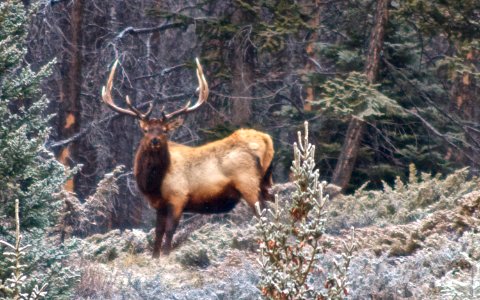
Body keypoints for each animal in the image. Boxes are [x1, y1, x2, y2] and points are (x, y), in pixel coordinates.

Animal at [101, 58, 274, 258]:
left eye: (165, 130)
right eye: (145, 130)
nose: (154, 140)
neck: (153, 183)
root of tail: (266, 139)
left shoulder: (179, 196)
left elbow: (170, 230)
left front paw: (166, 257)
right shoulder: (159, 204)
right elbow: (158, 232)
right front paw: (155, 257)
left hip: (248, 183)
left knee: (263, 214)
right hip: (266, 181)